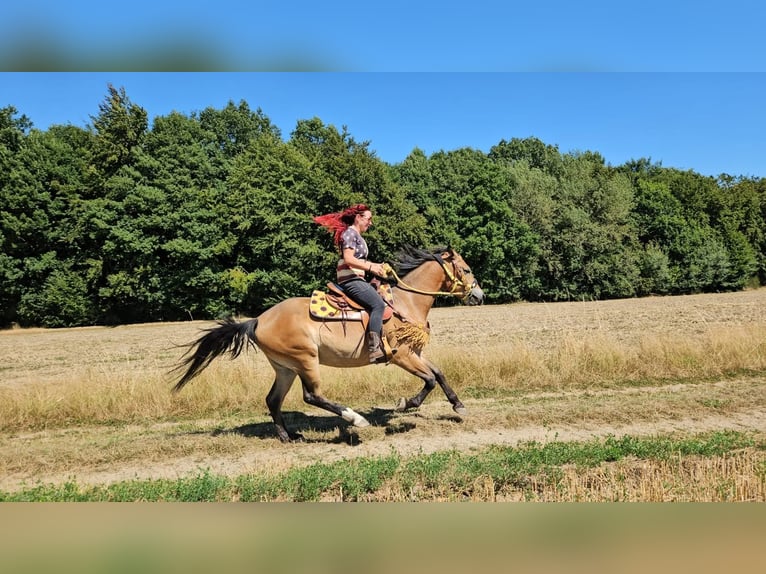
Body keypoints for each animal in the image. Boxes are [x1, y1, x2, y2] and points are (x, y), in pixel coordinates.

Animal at [171, 245, 484, 442]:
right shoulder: (401, 355)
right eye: (467, 269)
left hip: (285, 367)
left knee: (273, 399)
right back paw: (355, 419)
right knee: (312, 396)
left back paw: (288, 436)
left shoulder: (415, 352)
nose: (479, 296)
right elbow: (429, 379)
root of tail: (258, 320)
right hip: (305, 359)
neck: (406, 303)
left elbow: (439, 373)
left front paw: (458, 405)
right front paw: (407, 403)